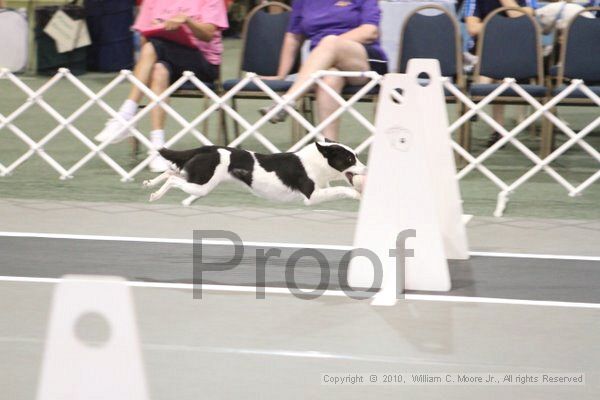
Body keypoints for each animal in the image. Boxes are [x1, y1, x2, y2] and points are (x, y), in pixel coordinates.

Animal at [144, 141, 368, 208]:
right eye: (350, 159)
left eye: (356, 156)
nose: (367, 169)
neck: (317, 162)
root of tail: (207, 148)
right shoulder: (311, 197)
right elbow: (343, 189)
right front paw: (359, 195)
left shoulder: (323, 190)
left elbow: (338, 189)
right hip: (203, 185)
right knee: (173, 178)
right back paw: (155, 195)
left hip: (199, 179)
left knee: (171, 171)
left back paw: (148, 184)